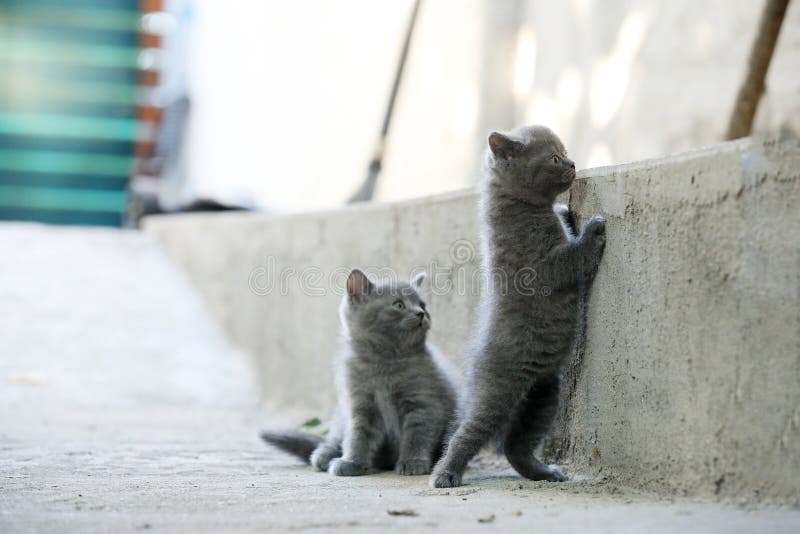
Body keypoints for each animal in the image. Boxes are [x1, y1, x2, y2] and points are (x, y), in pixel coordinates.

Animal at [260, 272, 456, 478]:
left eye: (422, 305)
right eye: (398, 304)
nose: (421, 313)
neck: (384, 362)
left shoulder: (423, 403)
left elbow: (417, 434)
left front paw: (413, 462)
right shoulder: (360, 404)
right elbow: (358, 435)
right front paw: (351, 462)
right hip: (341, 414)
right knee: (334, 437)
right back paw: (324, 456)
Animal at [432, 125, 608, 490]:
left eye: (565, 152)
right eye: (554, 158)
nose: (572, 163)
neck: (520, 208)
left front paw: (566, 214)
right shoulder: (542, 266)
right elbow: (573, 256)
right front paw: (592, 229)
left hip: (544, 393)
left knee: (517, 445)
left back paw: (543, 472)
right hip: (500, 389)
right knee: (469, 432)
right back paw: (445, 474)